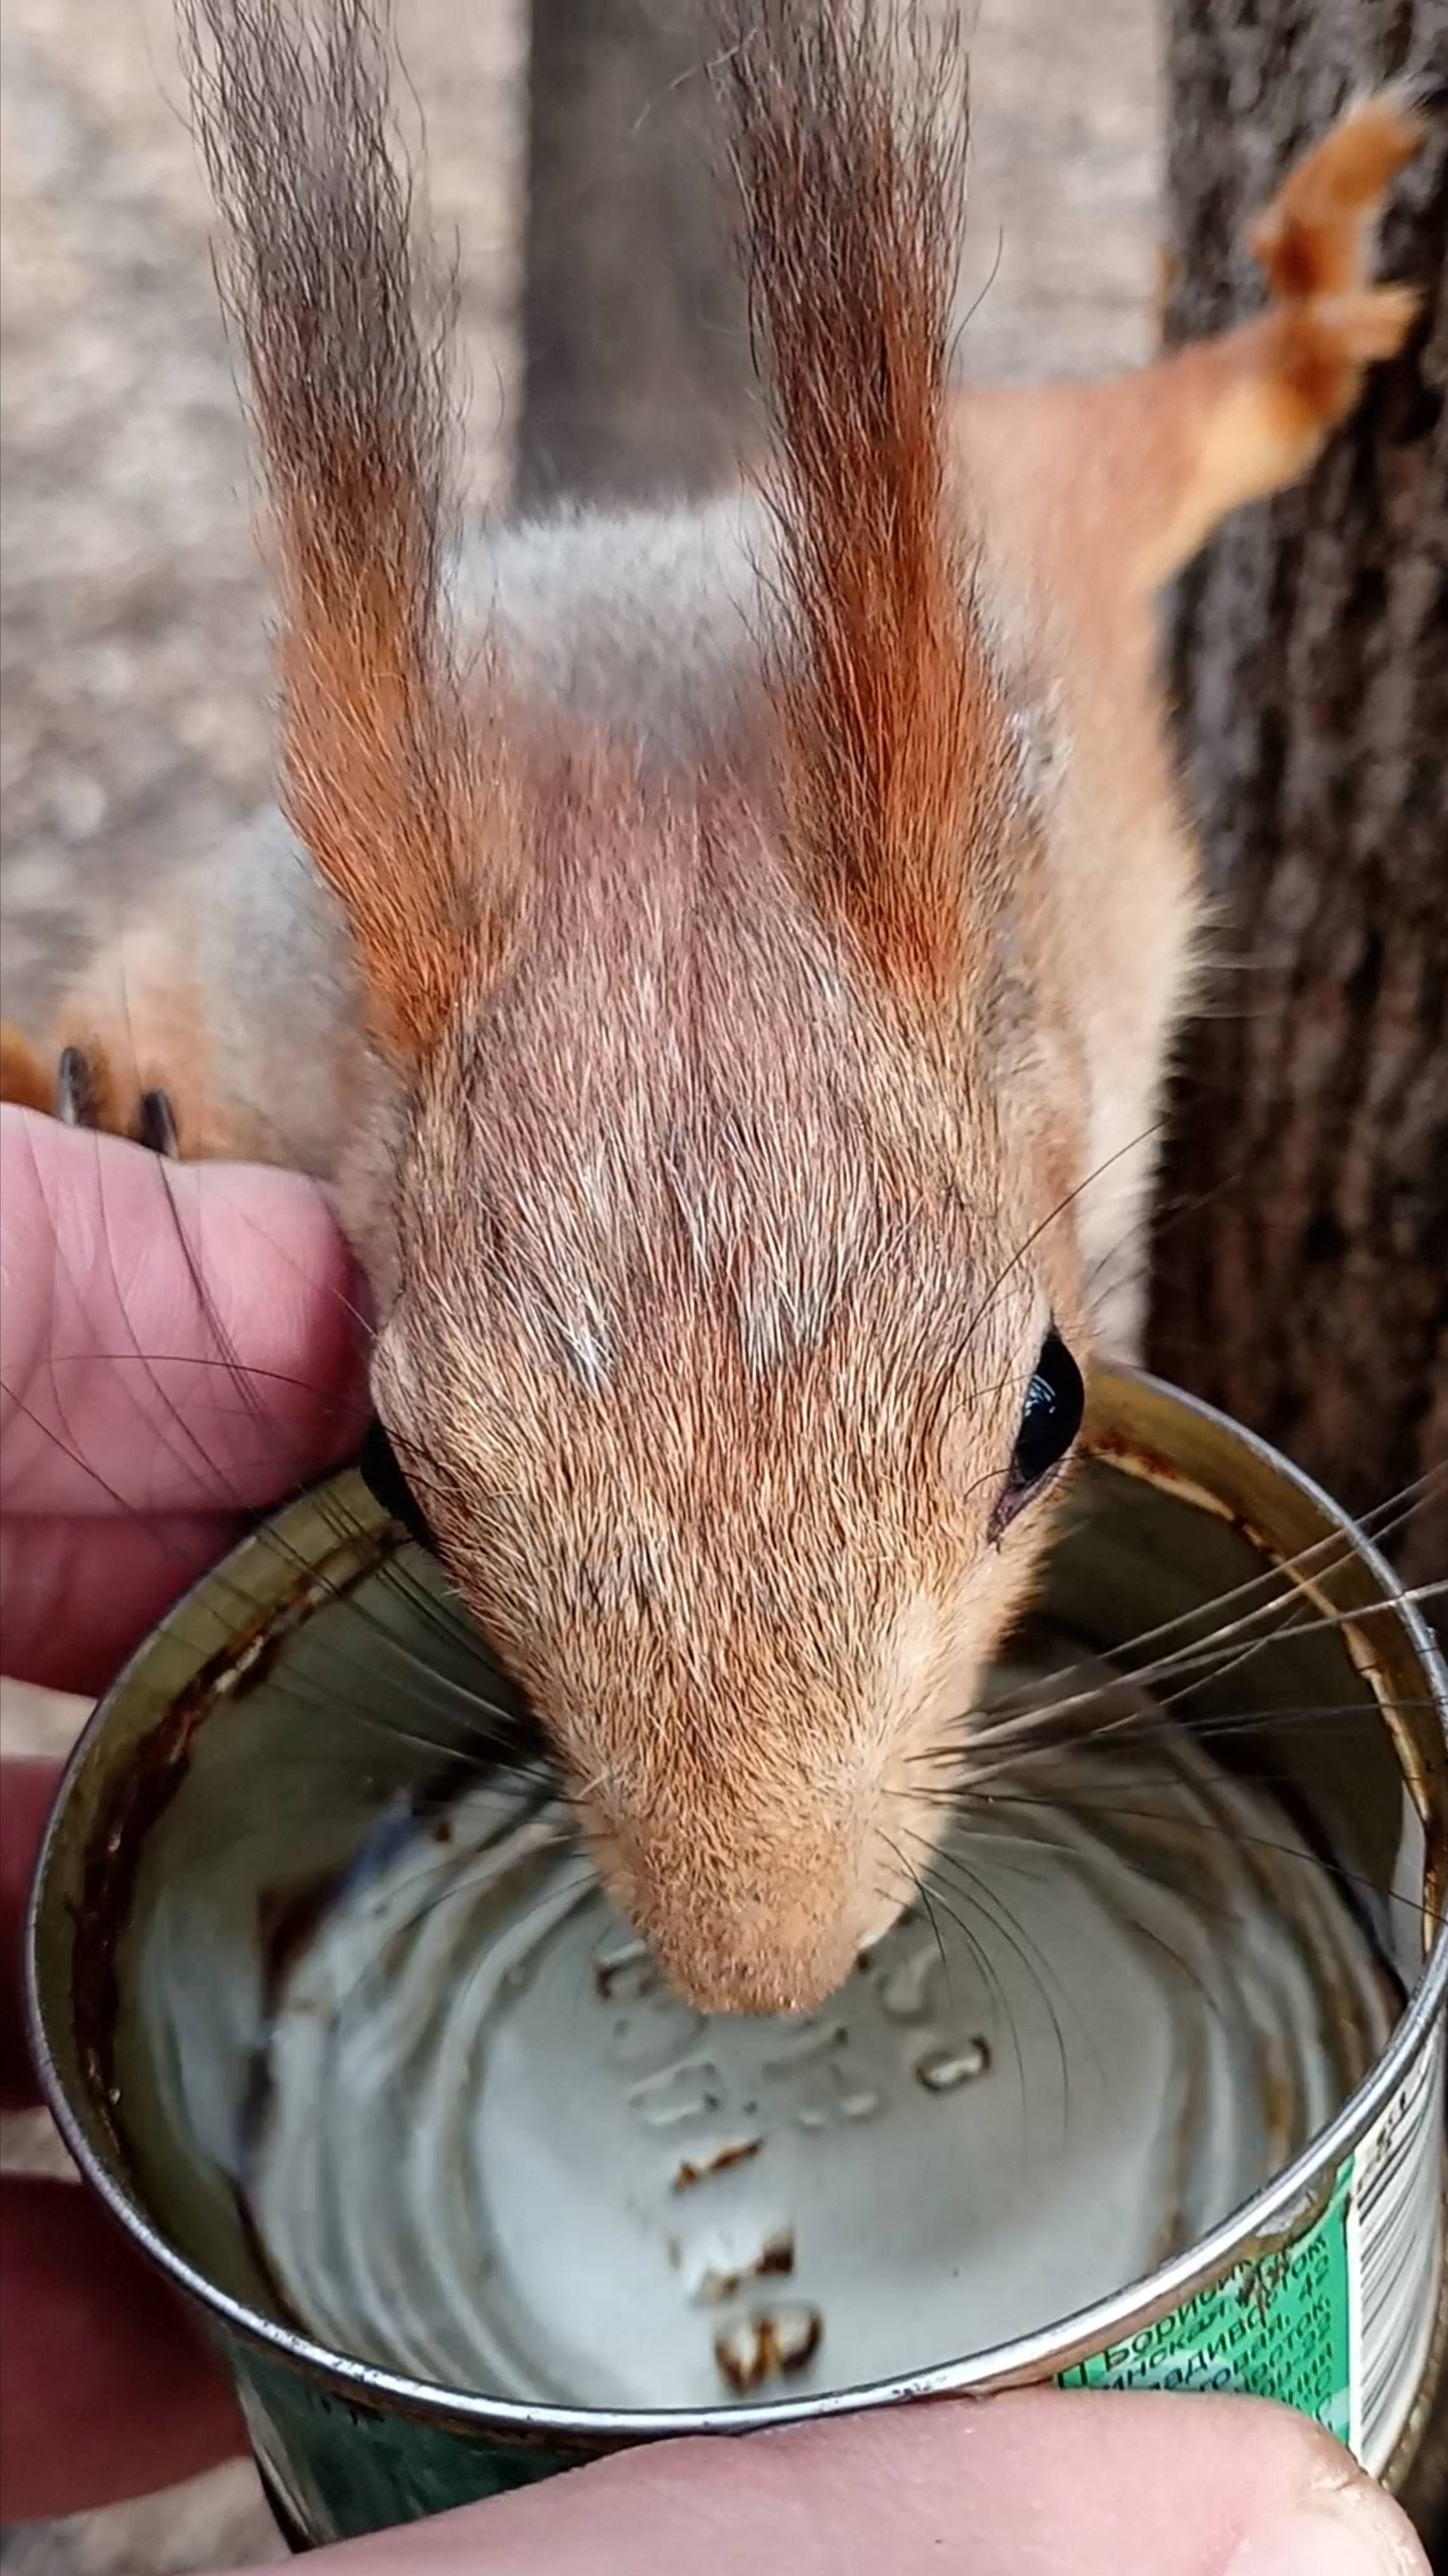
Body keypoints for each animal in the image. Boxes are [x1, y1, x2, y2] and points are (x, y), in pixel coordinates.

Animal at [3, 4, 1422, 2009]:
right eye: (393, 1474)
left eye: (1048, 1411)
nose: (764, 1973)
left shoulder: (1043, 575)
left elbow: (1169, 440)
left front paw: (1303, 317)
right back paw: (94, 1085)